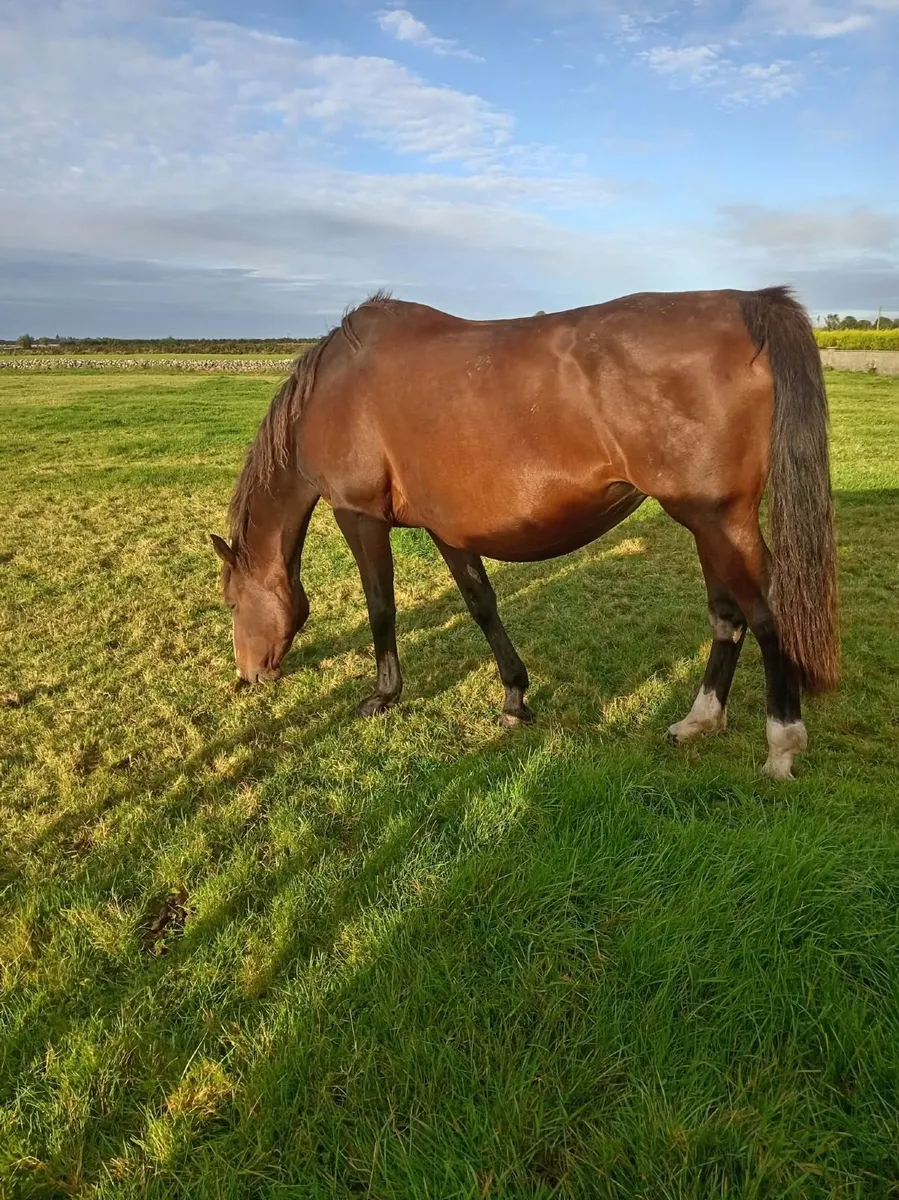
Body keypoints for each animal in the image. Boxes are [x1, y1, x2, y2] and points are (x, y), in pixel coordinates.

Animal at [211, 286, 838, 780]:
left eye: (231, 601)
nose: (247, 675)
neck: (334, 389)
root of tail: (748, 303)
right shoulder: (448, 527)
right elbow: (481, 603)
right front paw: (515, 697)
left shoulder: (358, 515)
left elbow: (381, 607)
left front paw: (384, 695)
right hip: (709, 525)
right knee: (727, 616)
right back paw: (699, 721)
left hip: (719, 520)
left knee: (766, 615)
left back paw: (782, 745)